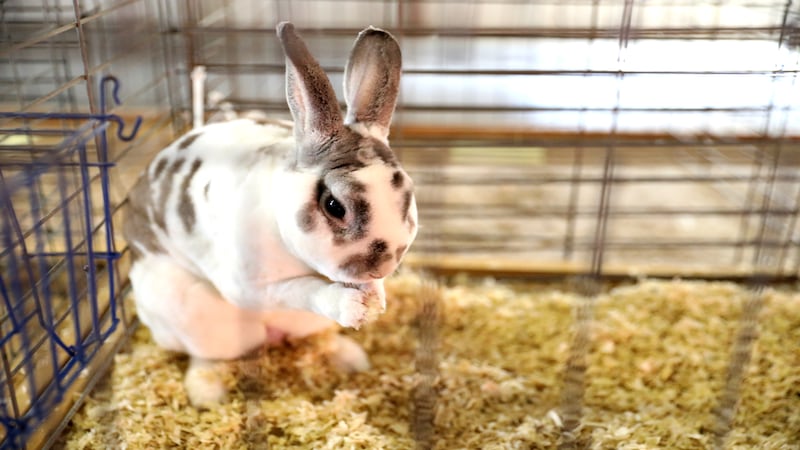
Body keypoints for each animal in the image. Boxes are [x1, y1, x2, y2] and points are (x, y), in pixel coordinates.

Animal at [122, 22, 418, 407]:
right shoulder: (251, 286)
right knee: (205, 357)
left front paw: (375, 299)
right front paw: (353, 305)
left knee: (315, 339)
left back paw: (351, 358)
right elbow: (302, 290)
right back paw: (207, 394)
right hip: (199, 318)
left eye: (407, 195)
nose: (379, 266)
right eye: (334, 206)